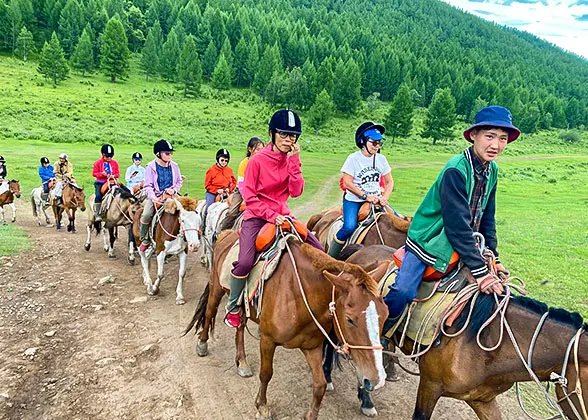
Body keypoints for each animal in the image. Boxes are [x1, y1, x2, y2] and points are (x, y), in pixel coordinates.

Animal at [186, 230, 392, 420]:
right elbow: (266, 374)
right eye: (349, 319)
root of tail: (226, 234)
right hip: (216, 288)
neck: (300, 294)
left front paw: (310, 415)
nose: (377, 380)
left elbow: (320, 385)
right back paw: (202, 345)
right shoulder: (267, 341)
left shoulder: (312, 346)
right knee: (209, 313)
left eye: (385, 315)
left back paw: (242, 362)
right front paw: (262, 407)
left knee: (240, 327)